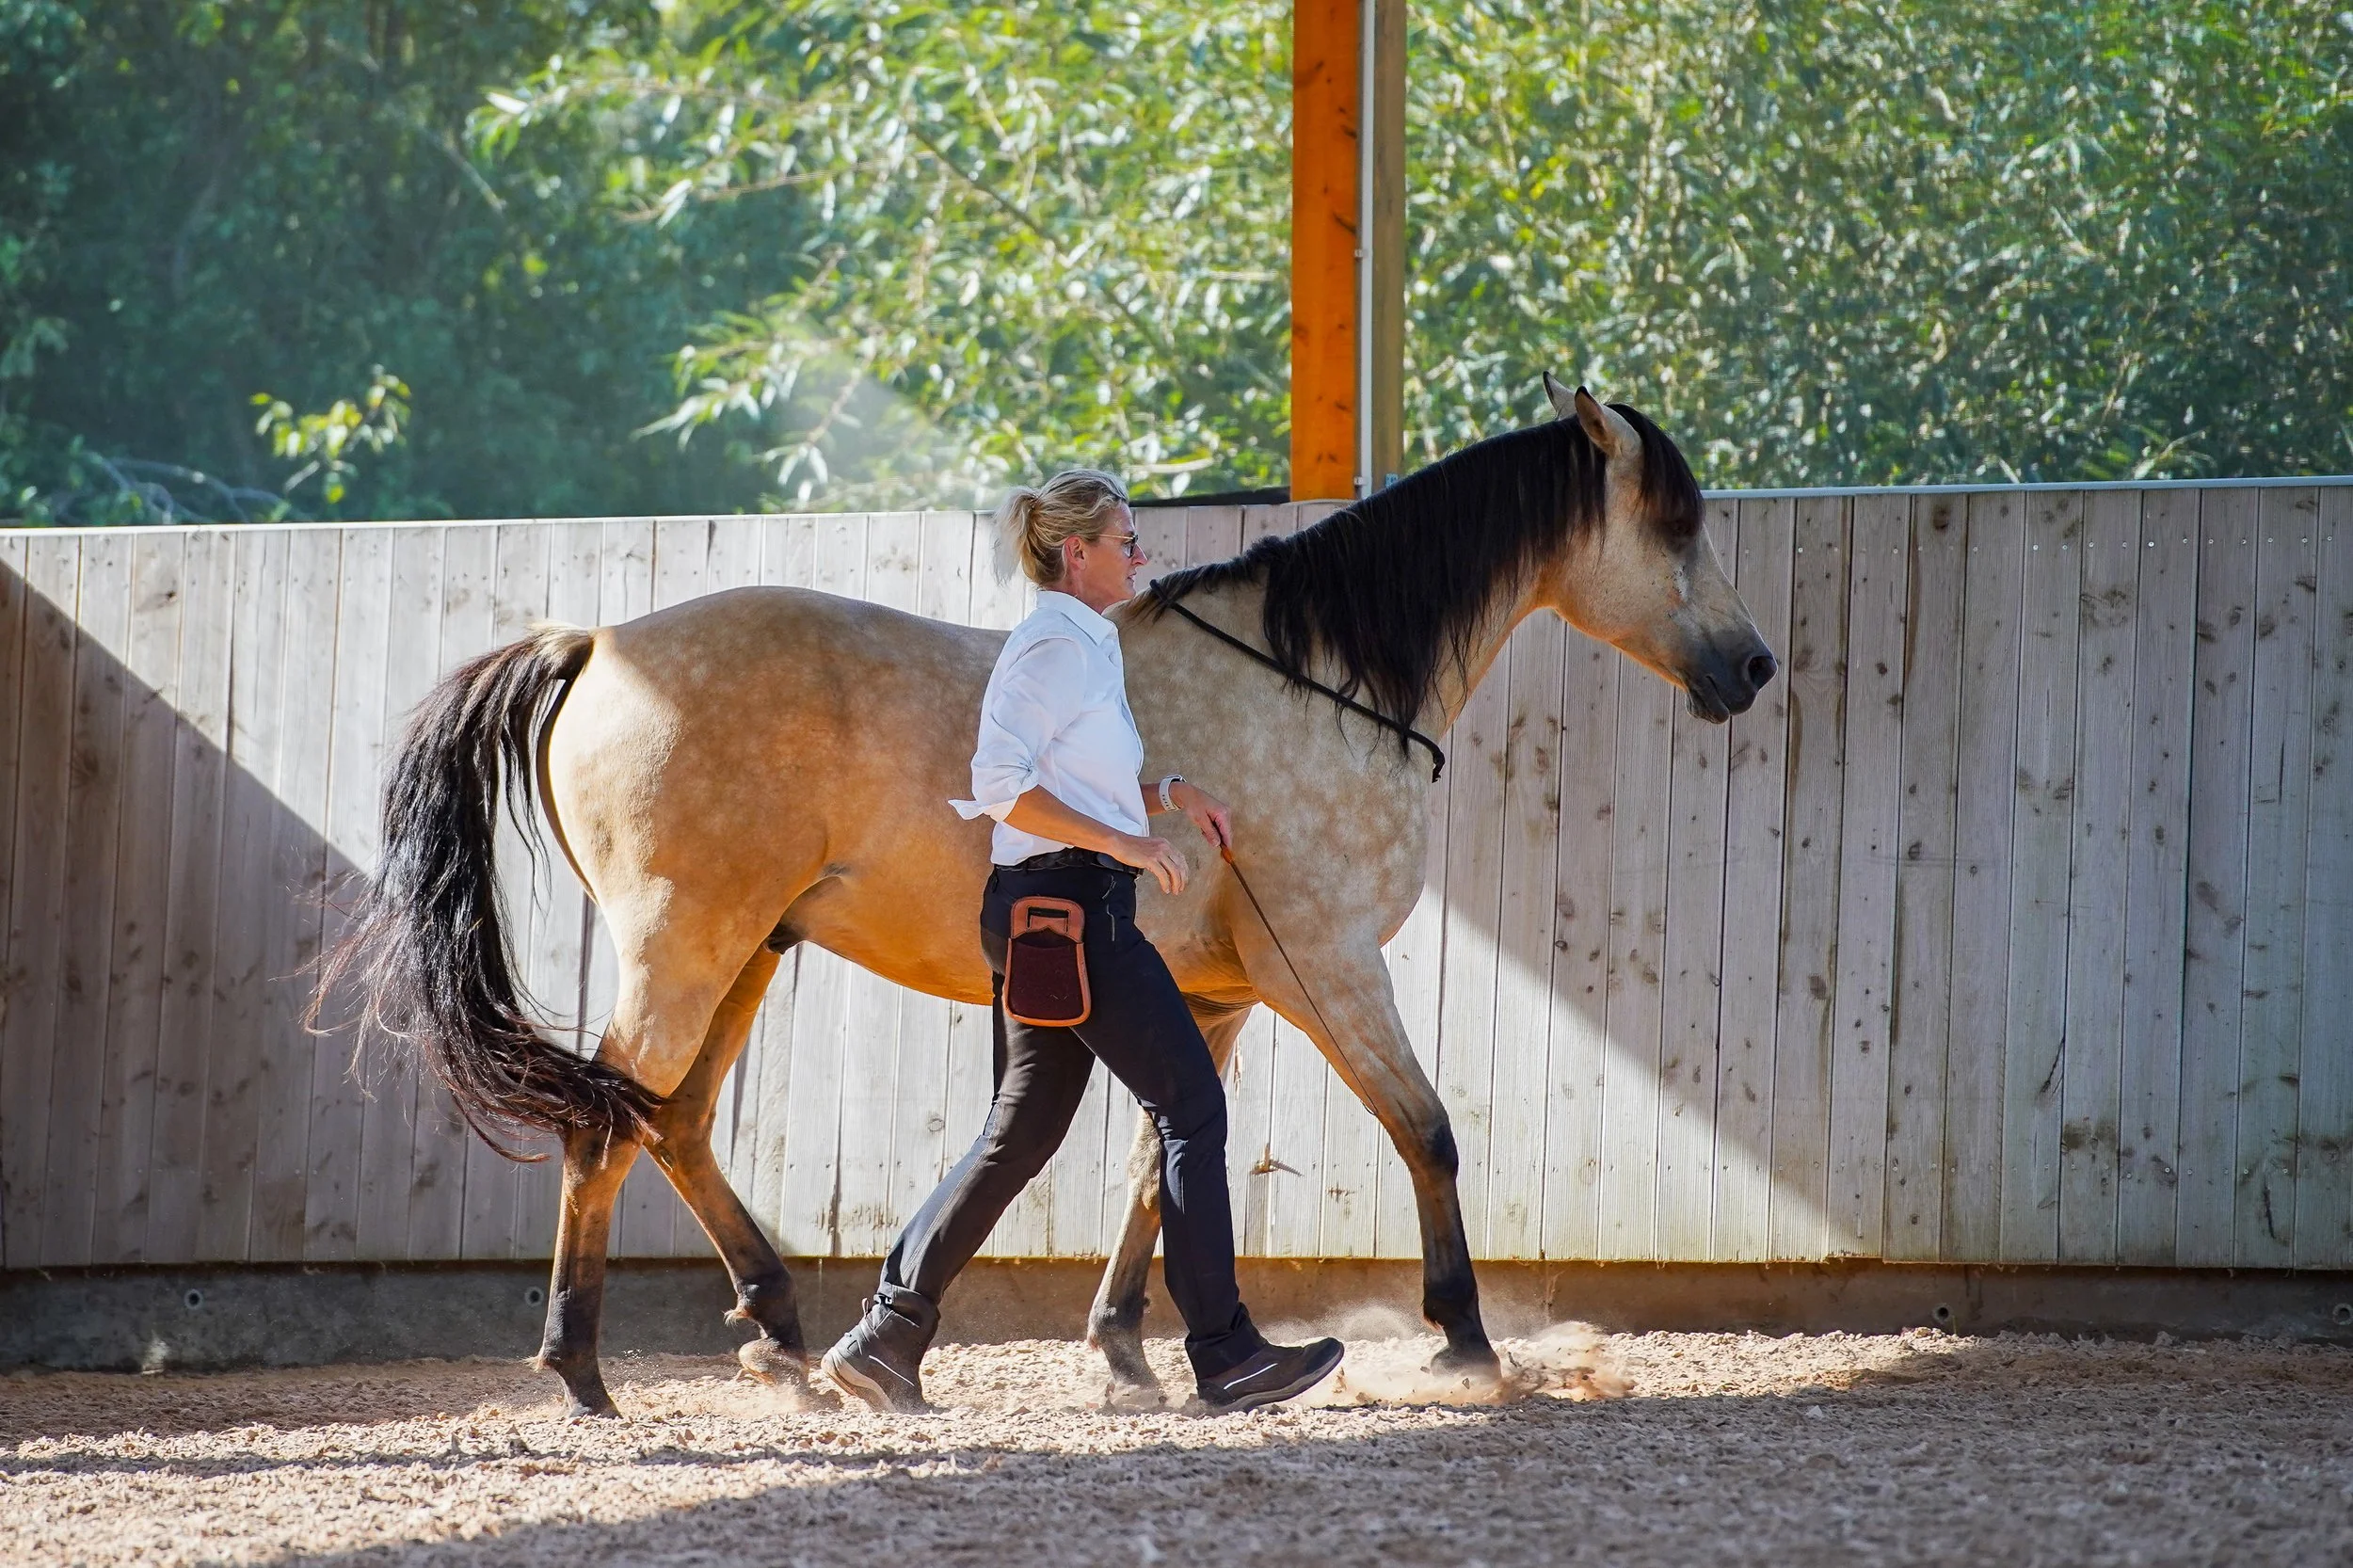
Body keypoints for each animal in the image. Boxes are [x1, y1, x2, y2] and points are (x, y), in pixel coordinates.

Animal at [321, 375, 1777, 1416]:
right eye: (1675, 524)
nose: (1754, 666)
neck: (1318, 682)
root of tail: (596, 644)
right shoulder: (1326, 962)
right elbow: (1424, 1130)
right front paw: (1464, 1341)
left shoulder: (1212, 995)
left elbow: (1160, 1162)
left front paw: (1133, 1350)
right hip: (687, 945)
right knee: (603, 1124)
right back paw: (581, 1371)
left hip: (747, 949)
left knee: (666, 1119)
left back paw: (790, 1337)